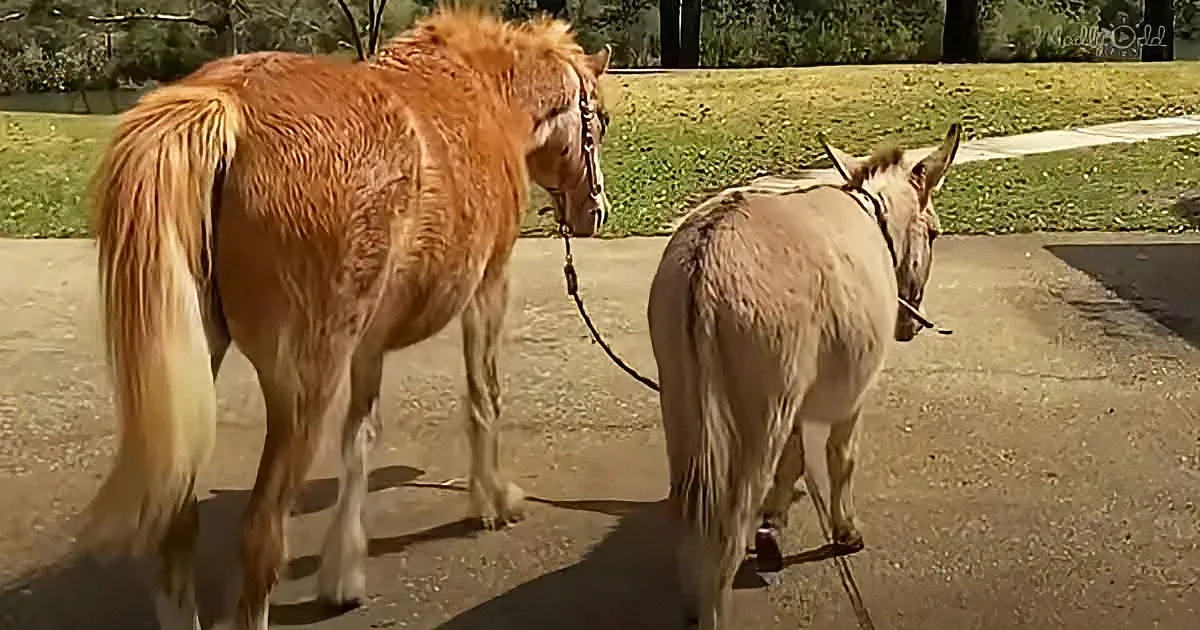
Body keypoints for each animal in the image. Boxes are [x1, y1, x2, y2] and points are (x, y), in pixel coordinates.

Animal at [77, 7, 613, 629]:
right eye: (599, 119)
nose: (596, 212)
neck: (484, 95)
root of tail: (225, 105)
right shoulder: (488, 287)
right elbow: (484, 396)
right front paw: (494, 501)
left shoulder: (369, 342)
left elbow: (360, 438)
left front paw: (342, 572)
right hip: (303, 386)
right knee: (261, 536)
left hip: (200, 364)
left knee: (176, 533)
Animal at [646, 124, 962, 629]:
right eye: (934, 233)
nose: (910, 325)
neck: (873, 218)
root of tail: (707, 256)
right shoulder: (852, 392)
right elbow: (841, 457)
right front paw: (845, 532)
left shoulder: (794, 395)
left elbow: (793, 460)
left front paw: (774, 528)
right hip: (752, 421)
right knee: (724, 536)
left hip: (682, 402)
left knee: (689, 517)